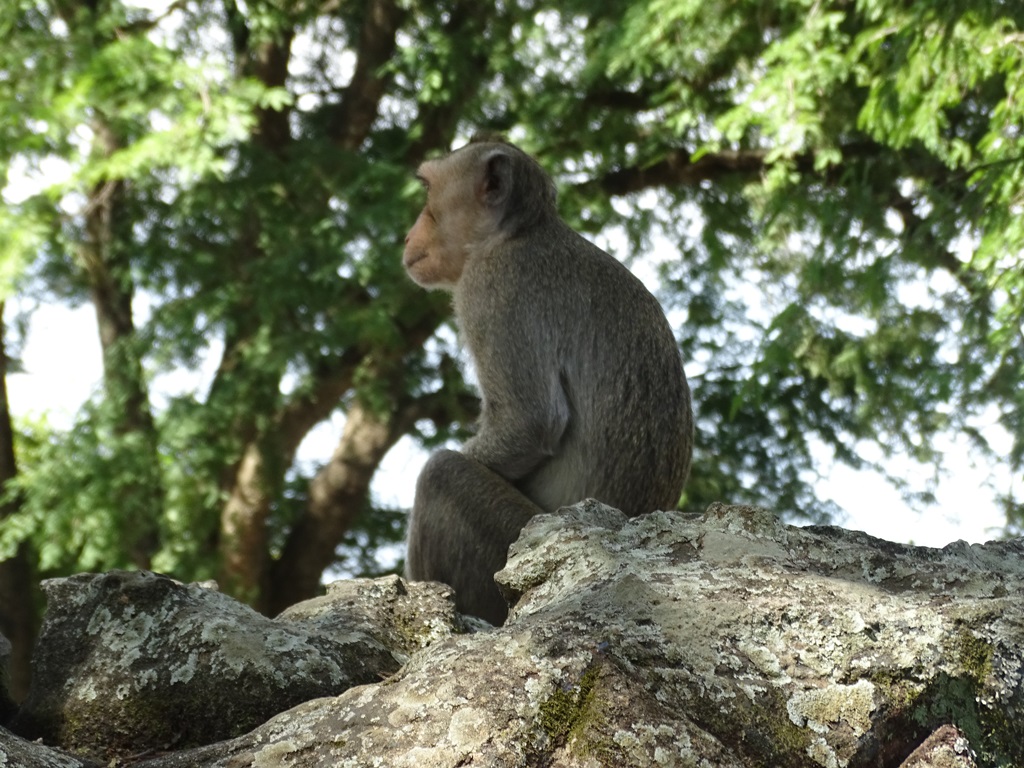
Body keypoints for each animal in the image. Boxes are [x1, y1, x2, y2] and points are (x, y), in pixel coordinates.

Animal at [403, 135, 692, 626]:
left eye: (427, 193)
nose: (408, 234)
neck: (517, 233)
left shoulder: (490, 288)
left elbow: (531, 422)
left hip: (512, 541)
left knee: (442, 473)